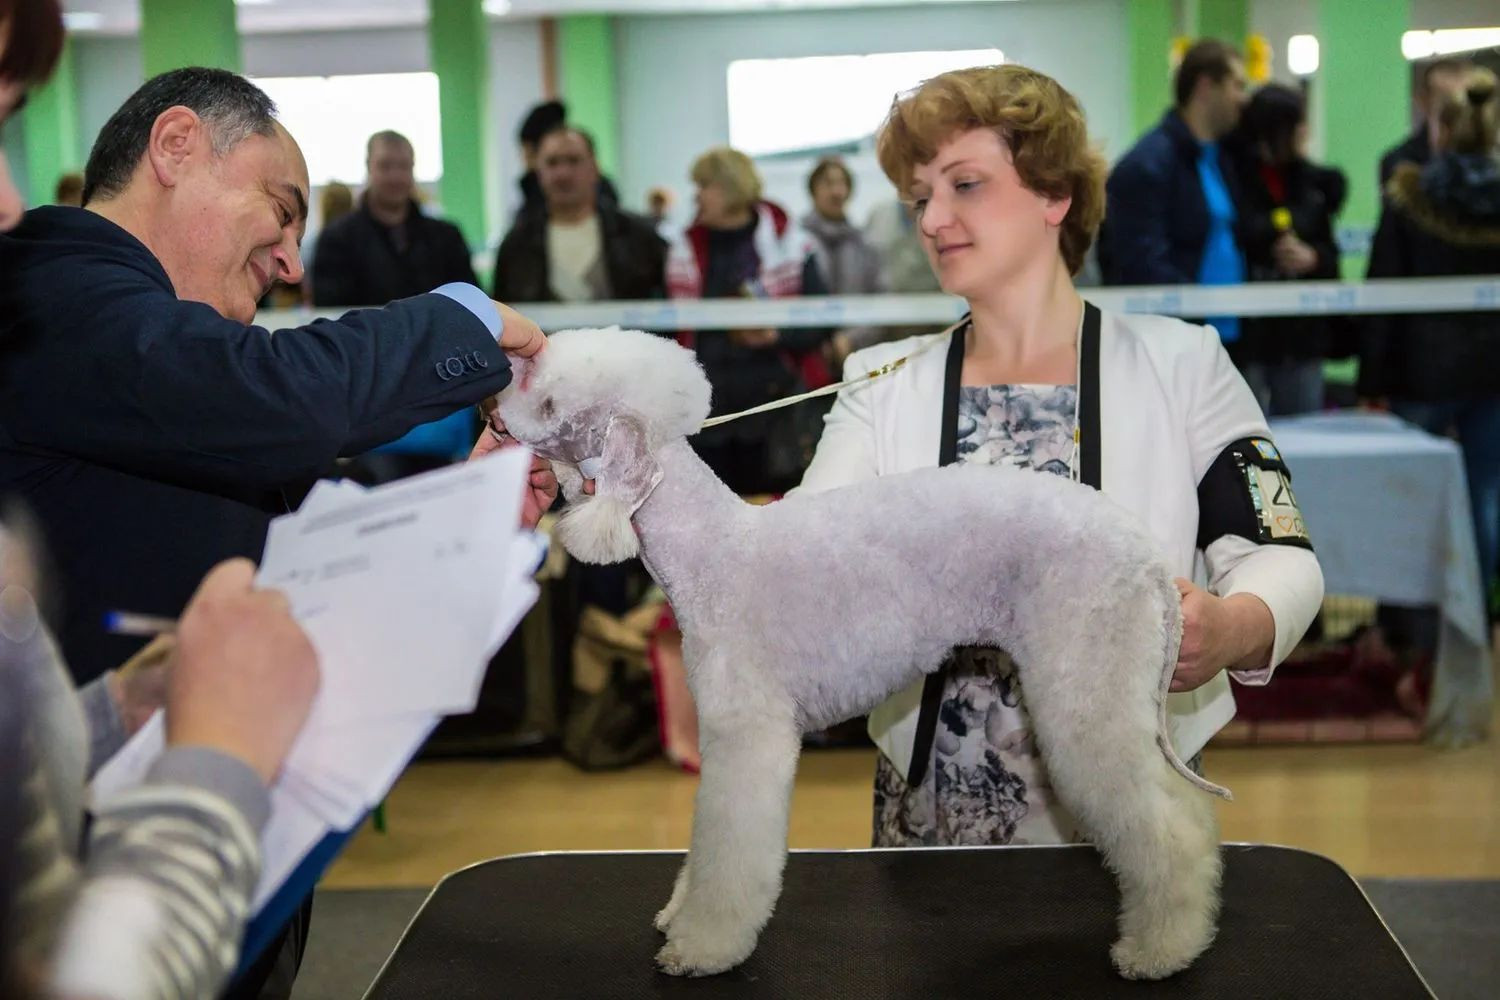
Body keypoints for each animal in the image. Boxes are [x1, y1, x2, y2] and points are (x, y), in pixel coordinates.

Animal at [492, 326, 1230, 977]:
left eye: (551, 404)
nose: (494, 406)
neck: (711, 547)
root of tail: (1147, 558)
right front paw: (679, 913)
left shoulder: (747, 734)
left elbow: (730, 846)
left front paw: (702, 946)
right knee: (1186, 814)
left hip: (1087, 688)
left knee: (1164, 829)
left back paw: (1161, 949)